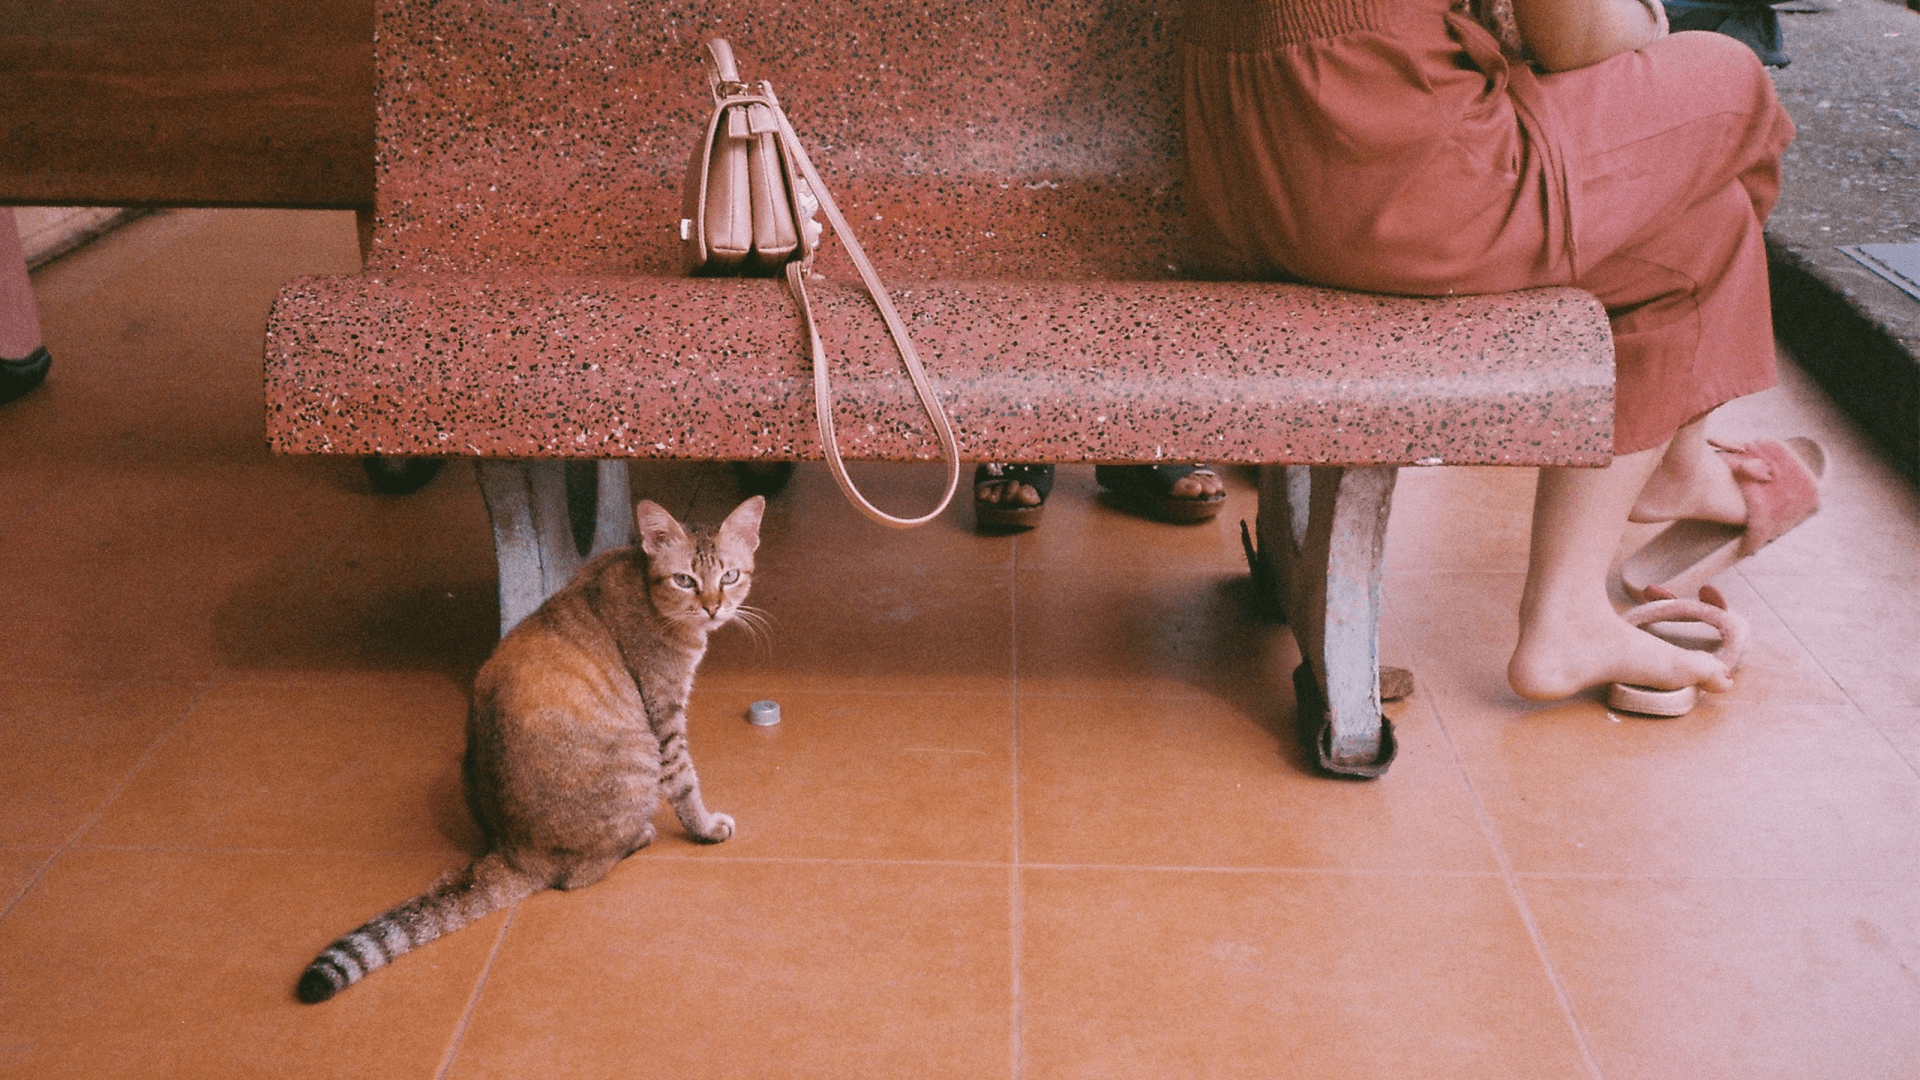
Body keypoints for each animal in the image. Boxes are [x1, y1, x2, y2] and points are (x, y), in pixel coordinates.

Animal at [295, 495, 760, 999]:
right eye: (684, 579)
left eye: (730, 576)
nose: (713, 608)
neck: (645, 585)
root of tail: (513, 850)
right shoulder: (664, 713)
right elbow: (685, 781)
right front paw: (706, 828)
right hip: (637, 758)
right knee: (577, 876)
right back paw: (638, 836)